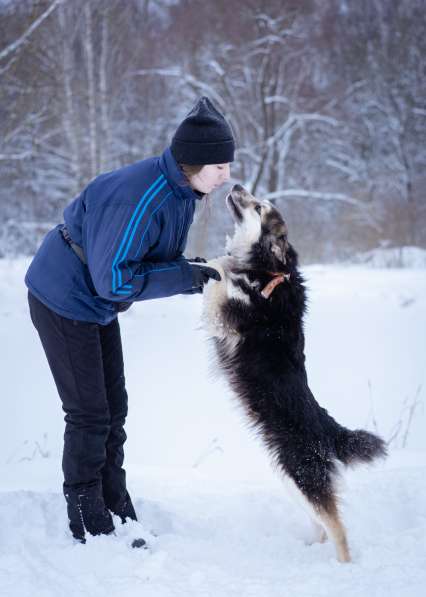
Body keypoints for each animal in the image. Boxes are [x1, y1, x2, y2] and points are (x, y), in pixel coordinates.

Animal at [200, 183, 386, 564]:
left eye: (258, 207)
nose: (236, 184)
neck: (269, 271)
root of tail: (329, 430)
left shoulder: (224, 315)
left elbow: (220, 271)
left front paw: (215, 263)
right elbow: (224, 266)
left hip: (302, 475)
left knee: (339, 530)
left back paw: (343, 566)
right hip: (291, 478)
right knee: (322, 524)